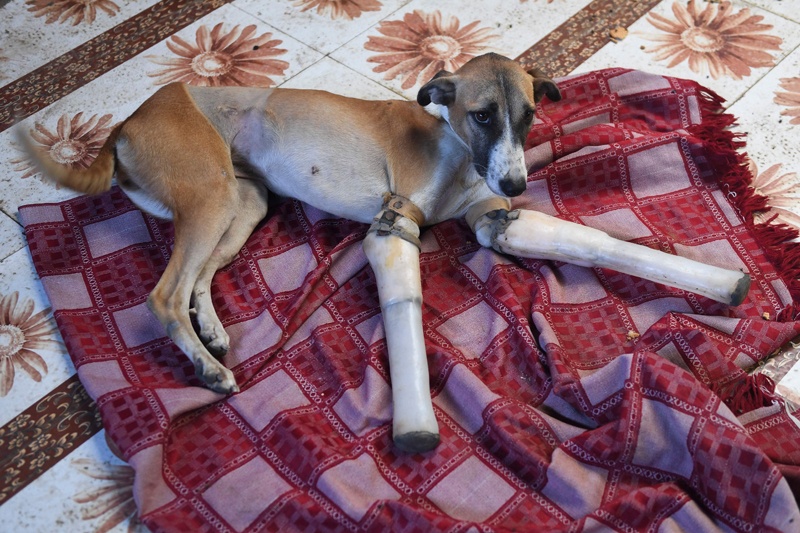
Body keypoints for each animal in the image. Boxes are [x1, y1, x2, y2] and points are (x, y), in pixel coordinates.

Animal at [17, 53, 744, 454]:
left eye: (529, 116)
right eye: (483, 114)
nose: (515, 183)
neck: (454, 148)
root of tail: (124, 123)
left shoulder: (495, 223)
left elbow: (593, 241)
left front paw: (721, 283)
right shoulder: (393, 224)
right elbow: (405, 309)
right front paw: (415, 423)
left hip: (241, 205)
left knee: (195, 282)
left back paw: (215, 335)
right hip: (209, 194)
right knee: (163, 294)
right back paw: (208, 370)